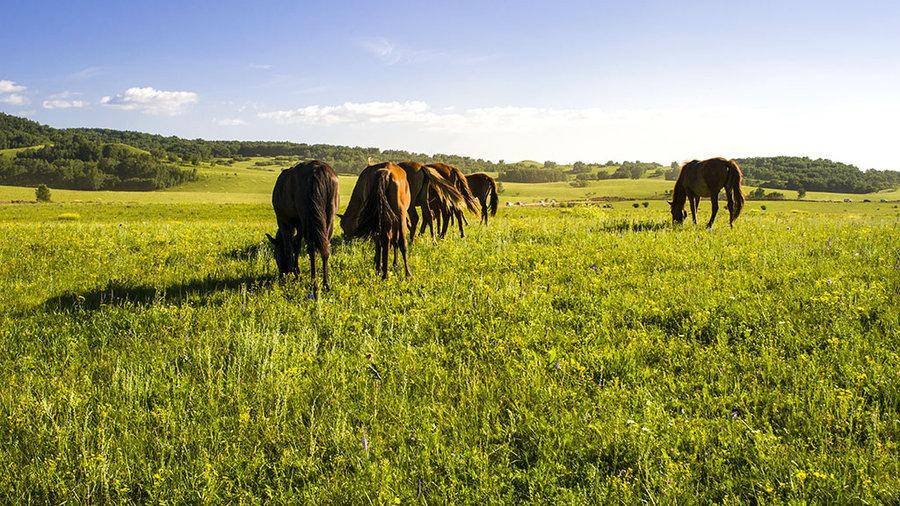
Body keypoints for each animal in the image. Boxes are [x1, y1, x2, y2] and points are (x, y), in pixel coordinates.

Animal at [268, 161, 342, 296]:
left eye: (276, 254)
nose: (281, 273)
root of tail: (319, 170)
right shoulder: (299, 224)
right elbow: (296, 244)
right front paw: (296, 271)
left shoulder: (283, 221)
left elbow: (289, 247)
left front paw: (293, 272)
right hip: (330, 216)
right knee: (325, 247)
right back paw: (326, 284)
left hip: (308, 217)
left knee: (312, 249)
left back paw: (315, 285)